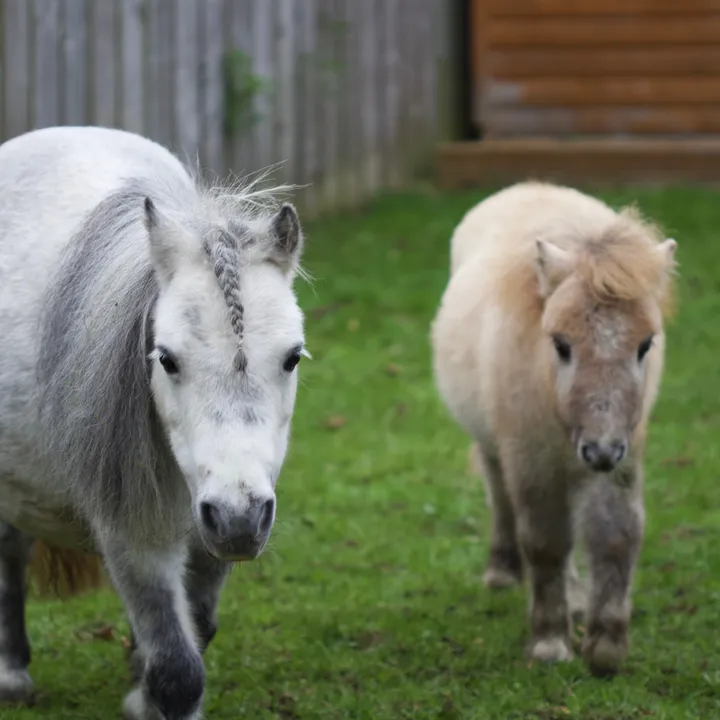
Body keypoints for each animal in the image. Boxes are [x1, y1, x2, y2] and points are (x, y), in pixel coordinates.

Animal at [0, 126, 309, 719]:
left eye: (291, 358)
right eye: (166, 359)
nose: (237, 517)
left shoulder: (216, 536)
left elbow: (197, 630)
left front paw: (140, 689)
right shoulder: (132, 537)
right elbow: (177, 672)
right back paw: (10, 671)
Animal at [431, 181, 677, 676]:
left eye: (645, 345)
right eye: (561, 344)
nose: (600, 451)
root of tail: (525, 188)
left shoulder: (622, 462)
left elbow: (616, 536)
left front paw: (605, 647)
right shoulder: (532, 459)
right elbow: (545, 542)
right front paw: (549, 643)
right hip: (497, 447)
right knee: (502, 499)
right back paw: (503, 571)